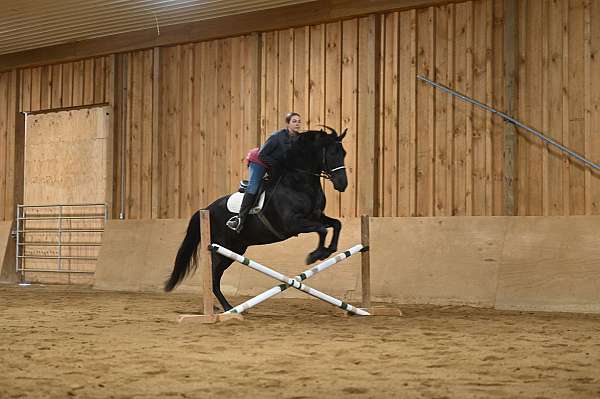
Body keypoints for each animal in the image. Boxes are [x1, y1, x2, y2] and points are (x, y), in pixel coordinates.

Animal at [166, 126, 350, 310]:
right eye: (332, 153)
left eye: (344, 153)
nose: (342, 184)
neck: (298, 183)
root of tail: (206, 209)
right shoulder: (292, 224)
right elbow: (322, 230)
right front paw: (316, 254)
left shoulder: (316, 216)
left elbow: (336, 224)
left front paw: (328, 250)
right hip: (221, 249)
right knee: (213, 278)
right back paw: (227, 308)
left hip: (236, 249)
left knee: (215, 277)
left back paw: (226, 307)